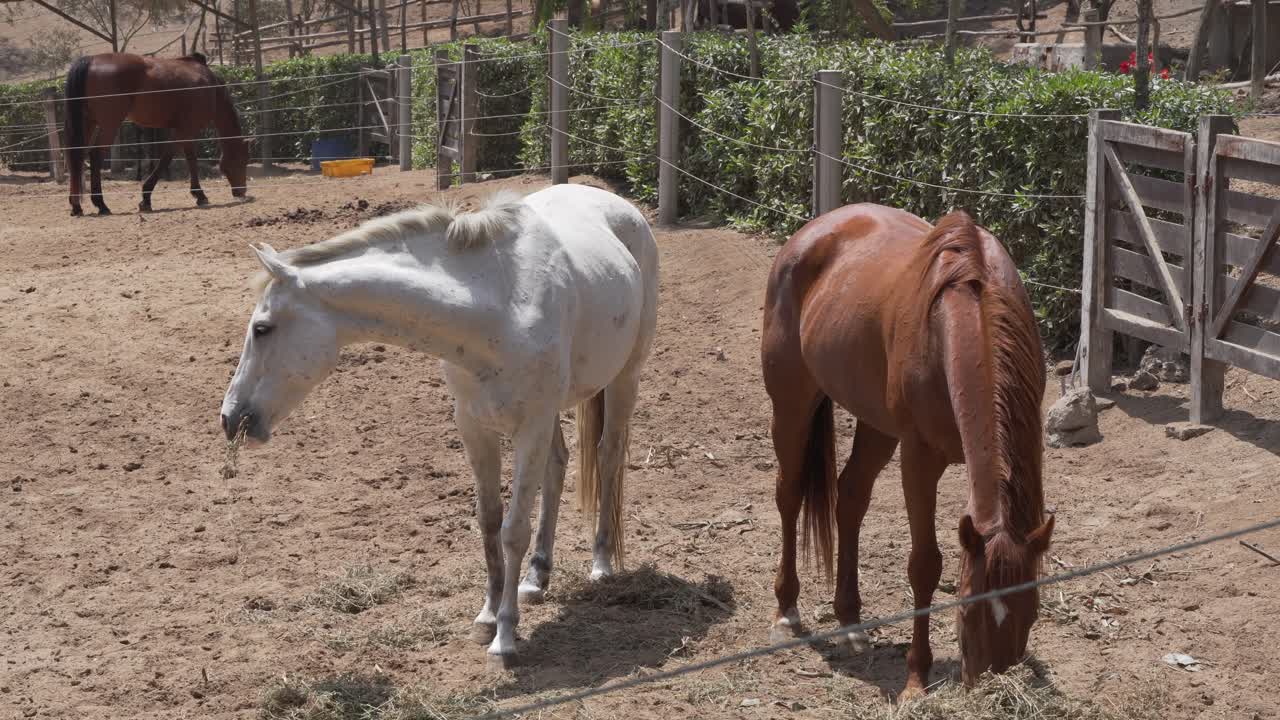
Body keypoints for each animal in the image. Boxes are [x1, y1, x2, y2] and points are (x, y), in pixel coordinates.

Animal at [64, 52, 250, 217]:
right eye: (242, 162)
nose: (241, 192)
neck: (211, 87)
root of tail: (91, 60)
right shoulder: (186, 129)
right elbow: (168, 158)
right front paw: (146, 198)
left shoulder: (184, 131)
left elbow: (190, 159)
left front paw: (199, 194)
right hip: (109, 125)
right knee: (95, 155)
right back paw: (101, 204)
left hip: (88, 123)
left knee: (78, 156)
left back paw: (76, 206)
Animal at [219, 184, 659, 667]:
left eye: (262, 328)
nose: (230, 417)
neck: (500, 303)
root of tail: (616, 203)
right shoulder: (474, 425)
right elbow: (489, 521)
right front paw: (487, 615)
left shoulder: (530, 426)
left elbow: (513, 531)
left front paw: (505, 637)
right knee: (558, 466)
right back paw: (536, 577)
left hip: (623, 379)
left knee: (608, 456)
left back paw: (601, 564)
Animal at [760, 204, 1053, 701]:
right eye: (966, 611)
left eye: (1029, 611)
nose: (991, 680)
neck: (965, 315)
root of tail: (811, 233)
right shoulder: (919, 458)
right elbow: (924, 565)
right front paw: (916, 679)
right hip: (793, 405)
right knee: (790, 493)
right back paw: (787, 610)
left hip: (877, 426)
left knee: (850, 497)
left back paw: (850, 622)